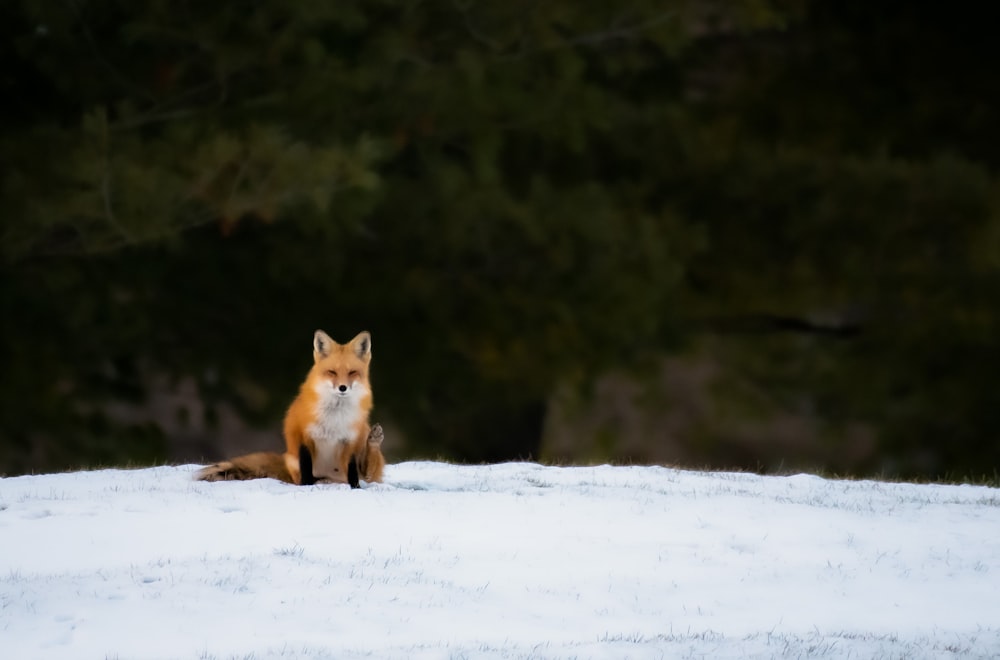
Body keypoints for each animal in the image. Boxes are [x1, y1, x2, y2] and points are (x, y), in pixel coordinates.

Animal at [197, 332, 384, 488]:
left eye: (352, 372)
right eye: (332, 372)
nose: (342, 388)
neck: (335, 415)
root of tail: (334, 480)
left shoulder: (350, 442)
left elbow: (354, 472)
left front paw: (355, 489)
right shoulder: (304, 437)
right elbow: (307, 470)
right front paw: (307, 488)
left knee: (367, 473)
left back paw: (373, 441)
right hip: (292, 460)